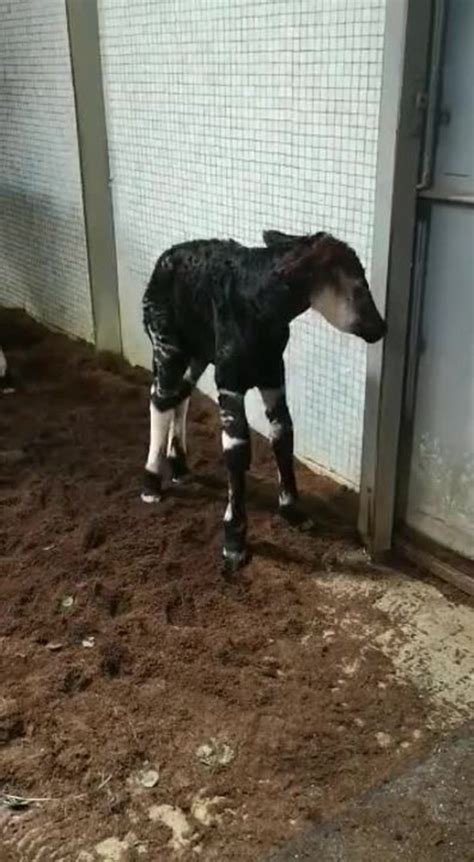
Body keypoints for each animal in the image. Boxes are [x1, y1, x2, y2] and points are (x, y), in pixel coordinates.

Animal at [141, 230, 386, 572]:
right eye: (359, 283)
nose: (381, 327)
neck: (263, 310)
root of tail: (162, 262)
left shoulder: (273, 375)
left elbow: (283, 434)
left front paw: (292, 510)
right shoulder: (230, 382)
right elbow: (237, 449)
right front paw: (234, 541)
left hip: (199, 352)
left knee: (181, 395)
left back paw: (179, 466)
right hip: (168, 346)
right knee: (161, 398)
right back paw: (151, 484)